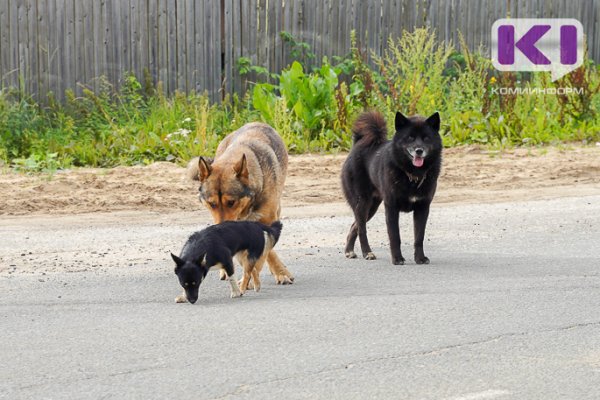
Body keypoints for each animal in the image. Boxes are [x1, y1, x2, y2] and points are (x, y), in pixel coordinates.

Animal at [189, 122, 294, 284]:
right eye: (212, 204)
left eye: (231, 202)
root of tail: (256, 122)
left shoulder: (268, 222)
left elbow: (266, 251)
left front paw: (280, 272)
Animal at [342, 111, 440, 264]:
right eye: (410, 137)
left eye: (426, 138)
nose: (419, 150)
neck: (412, 175)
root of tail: (357, 145)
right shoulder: (392, 207)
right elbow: (395, 237)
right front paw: (397, 258)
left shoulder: (422, 208)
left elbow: (419, 237)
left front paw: (420, 258)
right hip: (362, 203)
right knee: (362, 229)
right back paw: (367, 252)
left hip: (372, 206)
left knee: (355, 226)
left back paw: (349, 251)